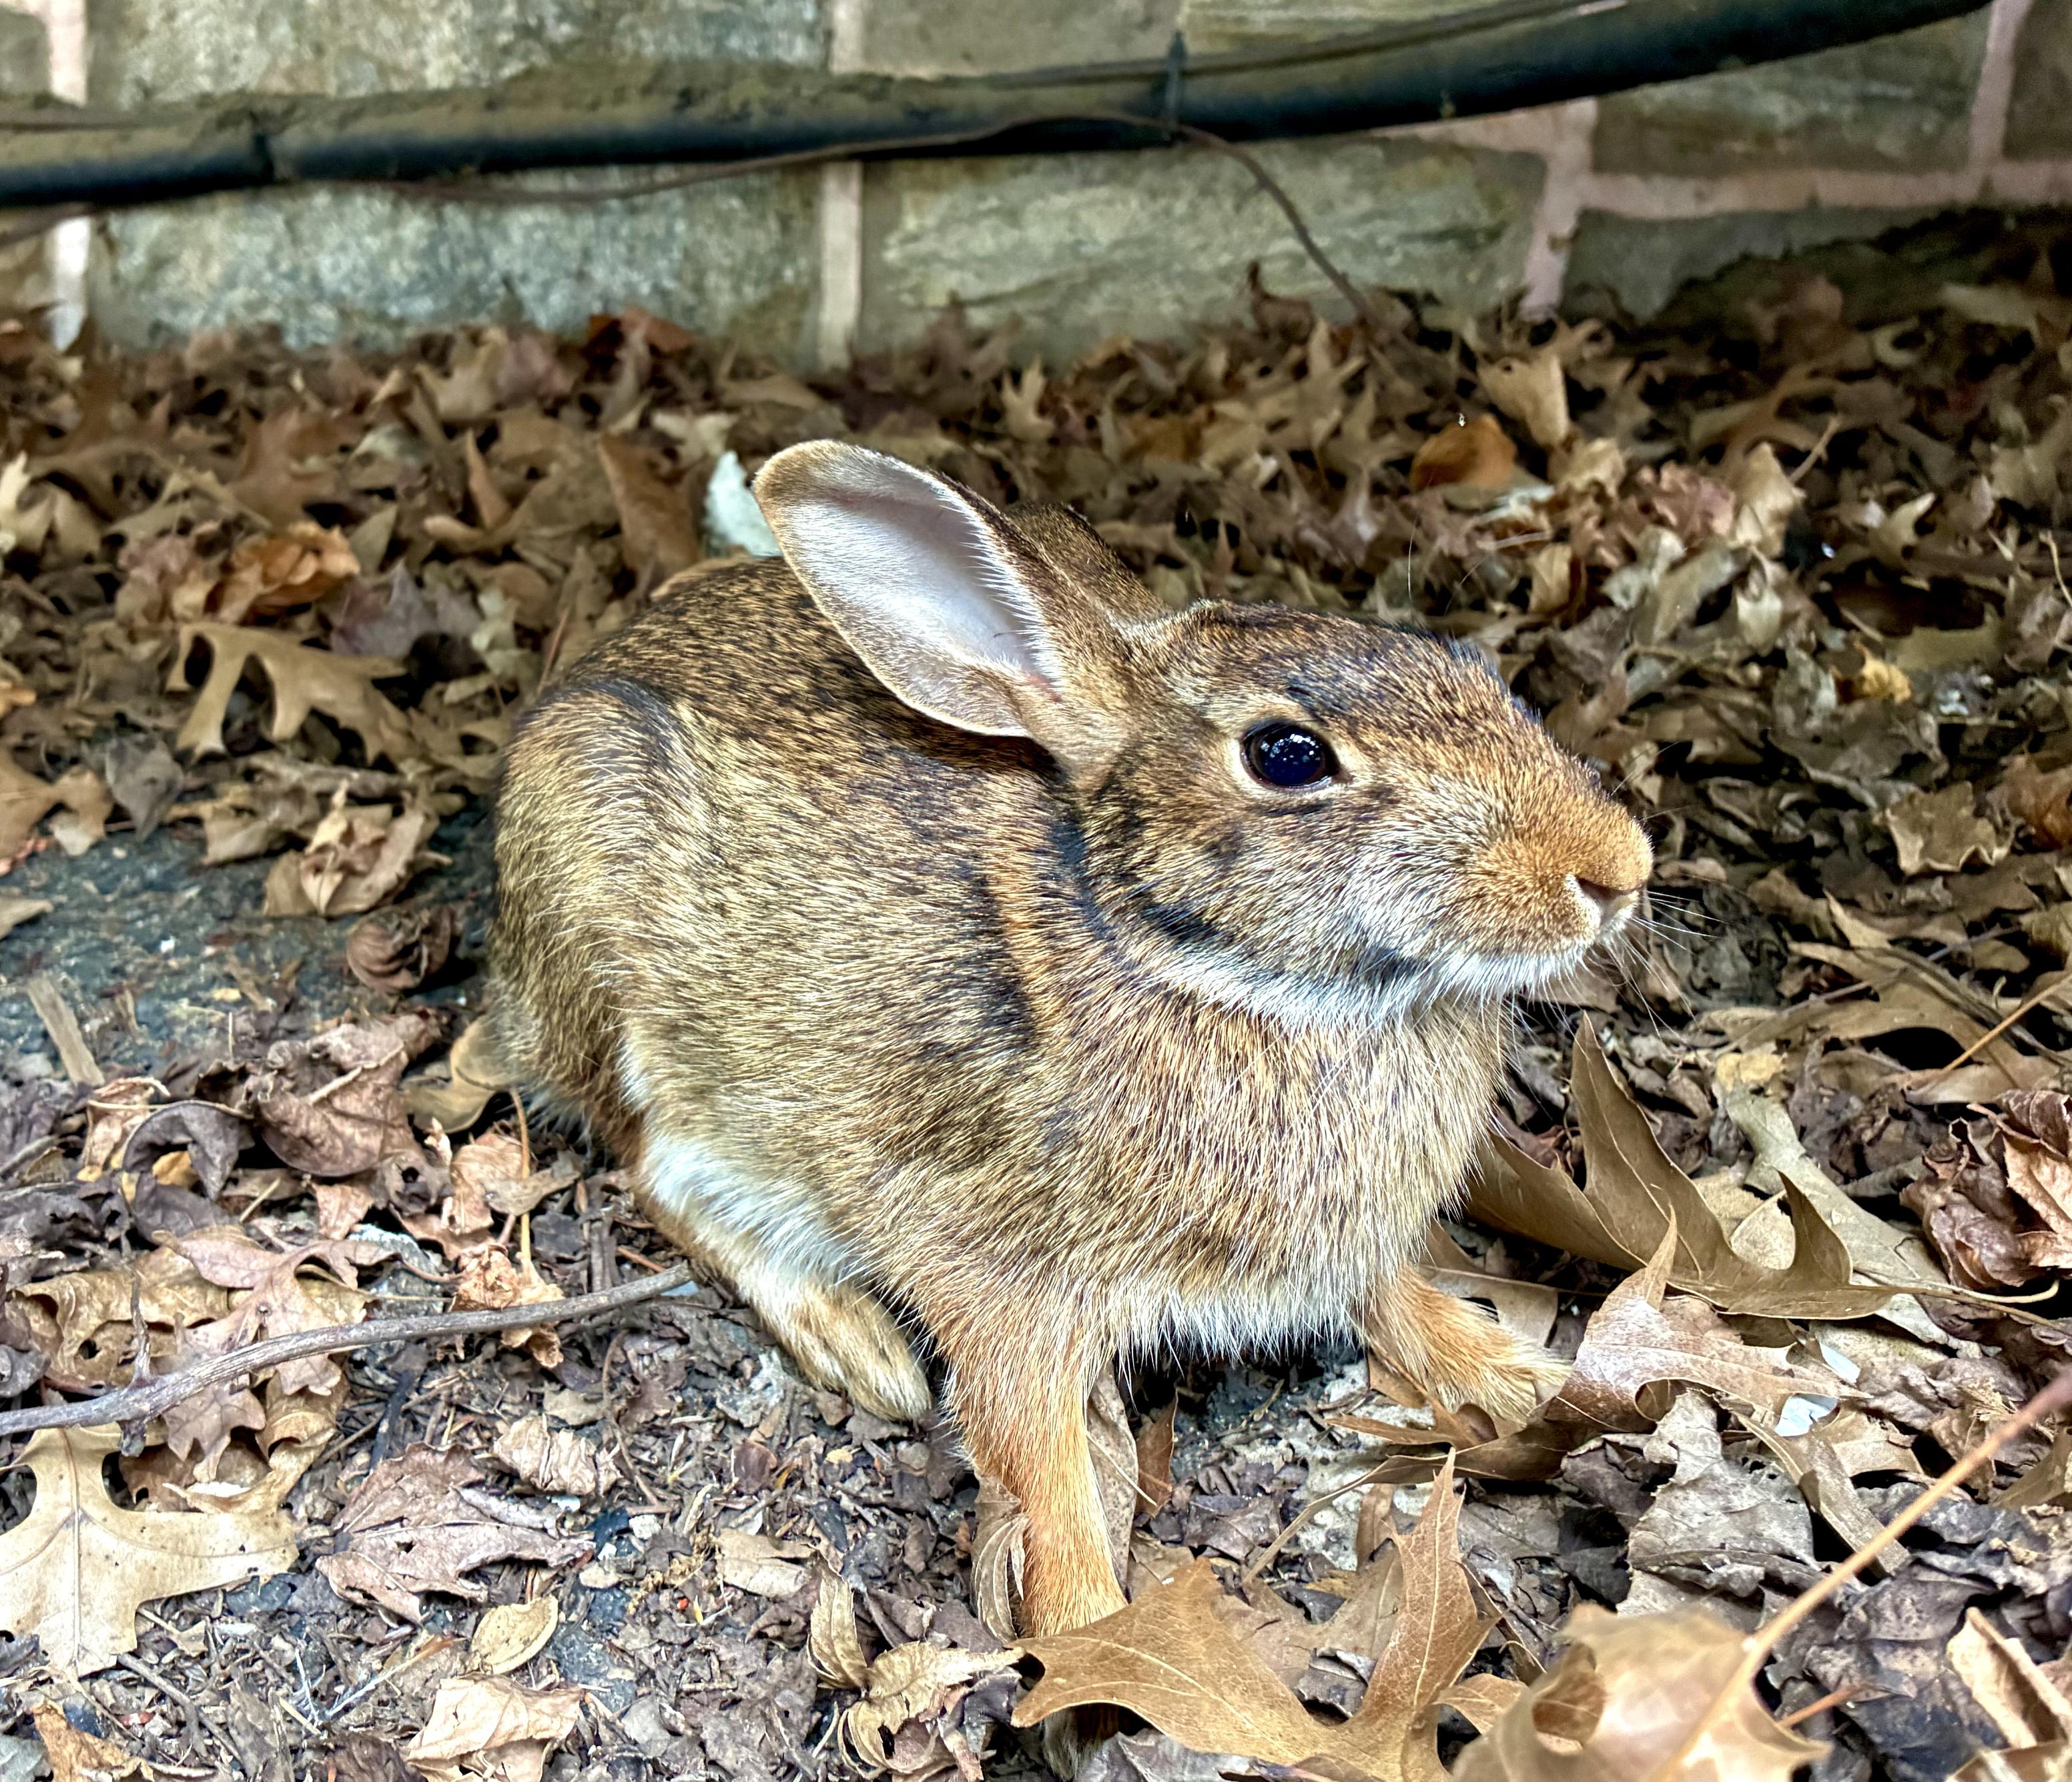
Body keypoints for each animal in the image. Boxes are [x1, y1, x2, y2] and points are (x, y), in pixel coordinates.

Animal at [487, 439, 1652, 1639]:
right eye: (1287, 755)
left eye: (1465, 659)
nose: (1617, 868)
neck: (1190, 957)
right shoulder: (996, 1278)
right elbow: (1036, 1464)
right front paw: (1089, 1624)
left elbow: (1406, 1299)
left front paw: (1550, 1385)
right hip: (627, 982)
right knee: (654, 1170)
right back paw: (856, 1341)